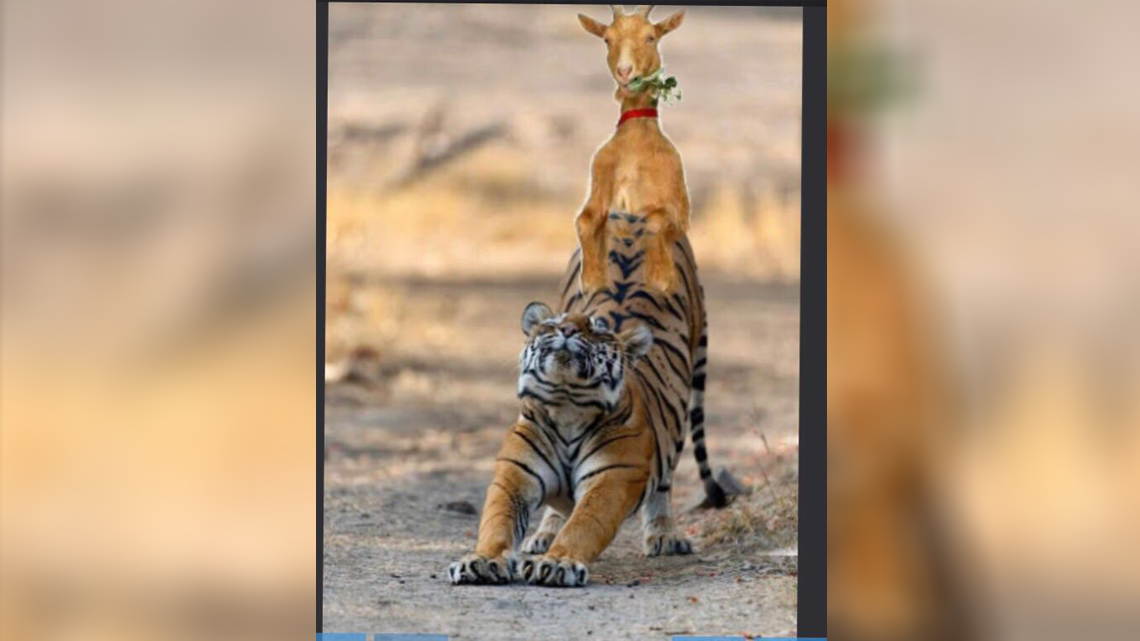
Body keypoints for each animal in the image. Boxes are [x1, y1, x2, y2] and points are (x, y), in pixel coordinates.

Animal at [448, 214, 728, 587]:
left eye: (597, 329)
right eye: (552, 324)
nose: (567, 329)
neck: (567, 405)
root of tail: (631, 215)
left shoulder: (611, 478)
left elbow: (583, 525)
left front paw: (559, 564)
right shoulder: (515, 475)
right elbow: (496, 522)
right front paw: (482, 560)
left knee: (664, 485)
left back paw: (665, 536)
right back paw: (544, 535)